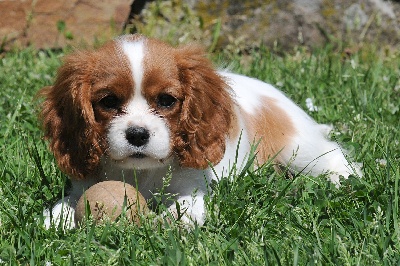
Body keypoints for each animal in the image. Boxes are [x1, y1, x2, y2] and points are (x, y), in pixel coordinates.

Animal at [39, 33, 360, 229]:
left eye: (166, 100)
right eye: (108, 101)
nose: (138, 134)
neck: (142, 173)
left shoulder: (192, 186)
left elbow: (186, 206)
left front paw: (169, 223)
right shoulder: (84, 184)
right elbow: (67, 203)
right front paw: (55, 221)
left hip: (297, 148)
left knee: (333, 157)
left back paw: (342, 178)